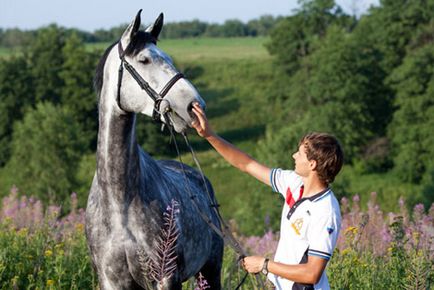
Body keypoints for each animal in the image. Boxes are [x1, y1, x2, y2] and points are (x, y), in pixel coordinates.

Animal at [87, 11, 225, 290]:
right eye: (144, 59)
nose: (194, 106)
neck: (119, 202)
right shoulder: (111, 281)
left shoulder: (165, 277)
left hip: (210, 270)